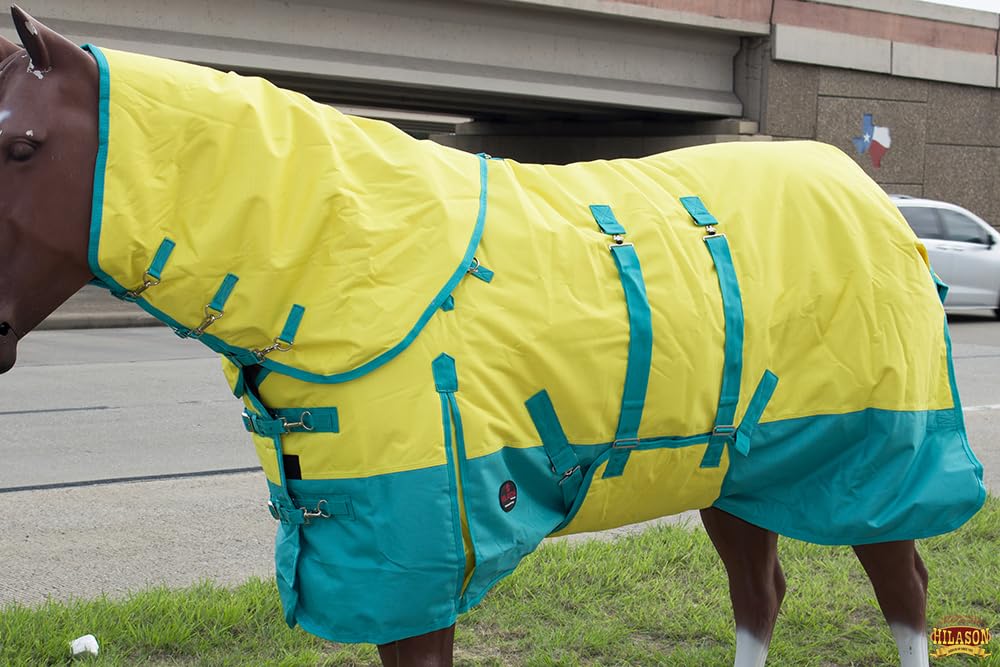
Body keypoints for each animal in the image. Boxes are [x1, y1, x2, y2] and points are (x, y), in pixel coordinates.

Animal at [0, 7, 985, 666]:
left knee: (904, 589)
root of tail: (872, 197)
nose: (0, 336)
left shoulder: (424, 560)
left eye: (20, 144)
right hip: (732, 464)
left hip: (872, 456)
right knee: (761, 590)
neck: (350, 258)